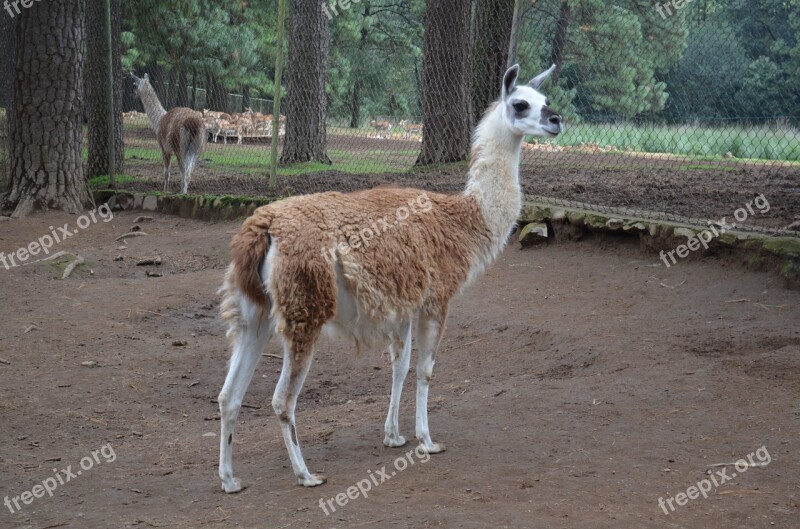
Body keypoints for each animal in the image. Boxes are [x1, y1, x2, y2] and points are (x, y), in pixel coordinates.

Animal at [216, 65, 560, 490]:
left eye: (547, 100)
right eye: (521, 104)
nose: (556, 121)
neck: (464, 219)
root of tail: (263, 227)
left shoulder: (405, 304)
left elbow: (400, 366)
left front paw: (393, 435)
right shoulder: (437, 300)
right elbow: (425, 370)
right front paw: (427, 440)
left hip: (254, 311)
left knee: (228, 395)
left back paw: (229, 479)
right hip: (304, 307)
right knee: (282, 399)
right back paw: (305, 473)